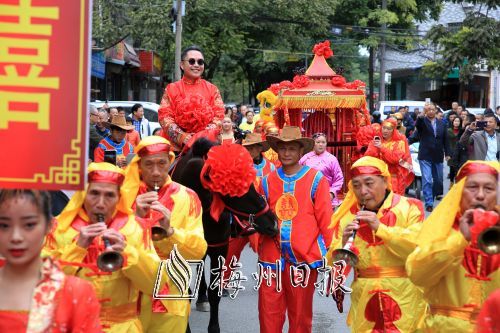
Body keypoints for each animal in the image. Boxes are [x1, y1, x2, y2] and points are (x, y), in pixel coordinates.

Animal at [172, 137, 278, 332]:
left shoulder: (219, 247)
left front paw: (214, 327)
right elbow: (184, 293)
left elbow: (215, 292)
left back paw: (202, 299)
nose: (272, 222)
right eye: (235, 189)